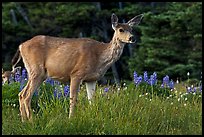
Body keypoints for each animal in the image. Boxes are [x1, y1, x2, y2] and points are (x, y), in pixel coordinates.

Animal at [11, 12, 143, 121]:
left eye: (131, 29)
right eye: (121, 29)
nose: (132, 38)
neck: (100, 57)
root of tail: (21, 46)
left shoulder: (92, 79)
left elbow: (91, 100)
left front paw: (92, 117)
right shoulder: (76, 74)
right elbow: (73, 99)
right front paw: (71, 119)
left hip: (36, 72)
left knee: (21, 94)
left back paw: (24, 121)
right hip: (36, 70)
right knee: (26, 95)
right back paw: (31, 121)